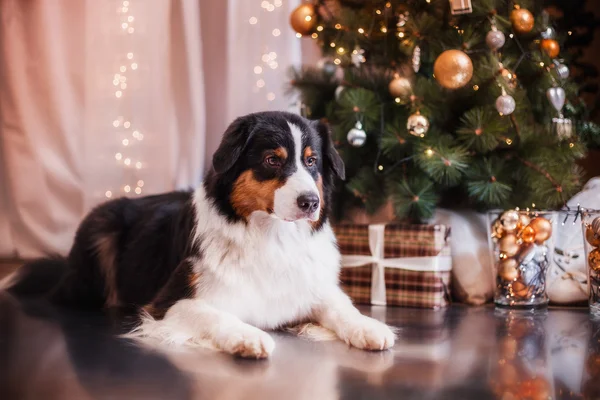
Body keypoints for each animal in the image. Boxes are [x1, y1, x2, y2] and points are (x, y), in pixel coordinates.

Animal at [2, 111, 396, 358]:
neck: (270, 236)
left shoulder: (308, 286)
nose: (310, 202)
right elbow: (217, 315)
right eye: (272, 159)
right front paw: (248, 336)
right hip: (100, 231)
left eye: (312, 161)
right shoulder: (169, 302)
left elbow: (340, 307)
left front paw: (370, 327)